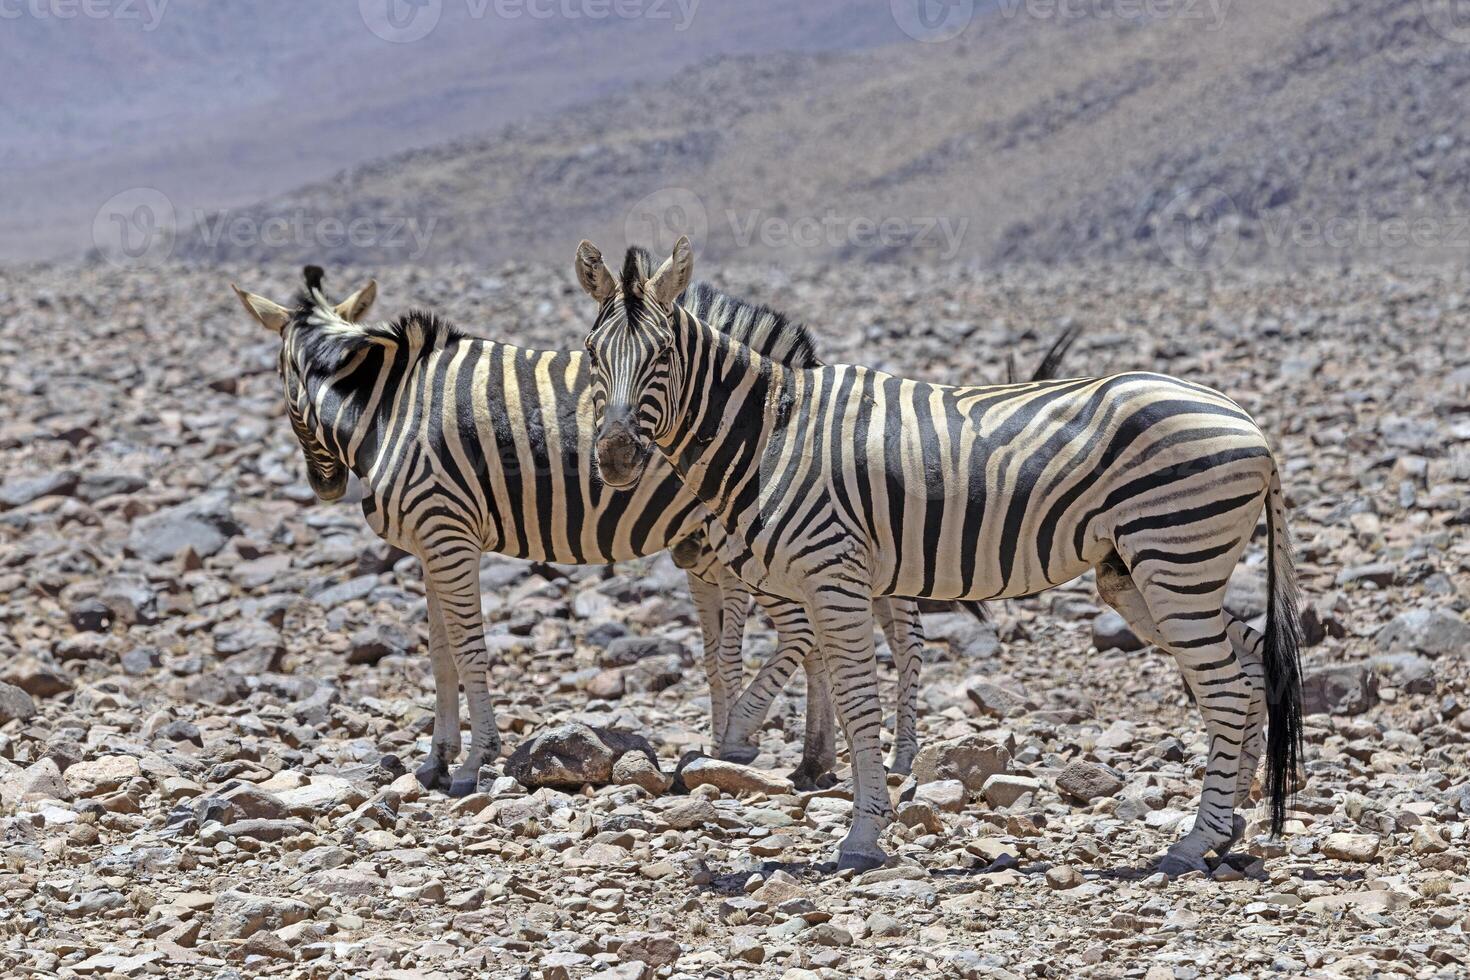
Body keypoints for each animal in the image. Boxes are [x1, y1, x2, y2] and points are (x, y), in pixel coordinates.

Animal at [229, 268, 970, 799]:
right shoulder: (429, 546)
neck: (391, 410)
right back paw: (815, 762)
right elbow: (438, 655)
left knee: (846, 634)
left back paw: (824, 752)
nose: (325, 485)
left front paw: (472, 763)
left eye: (278, 375)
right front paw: (435, 760)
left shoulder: (448, 534)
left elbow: (468, 652)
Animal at [570, 235, 1299, 875]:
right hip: (1148, 573)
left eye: (663, 355)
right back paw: (1229, 824)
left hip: (1174, 555)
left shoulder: (834, 576)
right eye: (591, 354)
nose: (615, 458)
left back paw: (1191, 844)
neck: (773, 434)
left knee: (1224, 688)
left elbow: (857, 702)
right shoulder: (824, 583)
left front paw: (861, 836)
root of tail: (1250, 425)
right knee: (1248, 663)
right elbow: (826, 685)